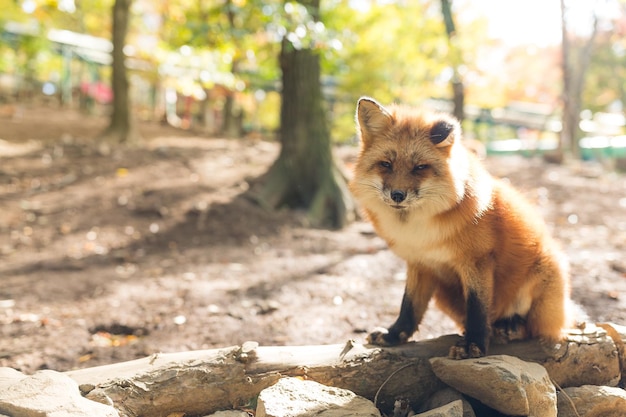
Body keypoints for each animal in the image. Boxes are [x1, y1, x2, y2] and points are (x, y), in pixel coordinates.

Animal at [352, 97, 572, 358]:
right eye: (386, 164)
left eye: (420, 167)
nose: (397, 195)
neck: (418, 233)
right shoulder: (419, 263)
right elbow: (410, 306)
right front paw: (394, 335)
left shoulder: (476, 261)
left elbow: (477, 308)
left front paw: (473, 344)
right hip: (443, 295)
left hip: (543, 275)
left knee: (535, 328)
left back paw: (510, 328)